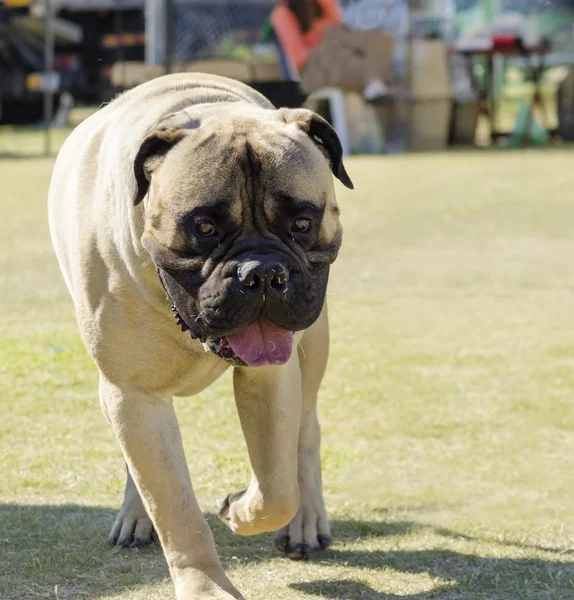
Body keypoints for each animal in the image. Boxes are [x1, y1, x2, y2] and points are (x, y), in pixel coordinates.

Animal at [48, 74, 356, 600]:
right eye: (205, 228)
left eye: (302, 223)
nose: (263, 272)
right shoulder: (131, 393)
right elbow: (173, 505)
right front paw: (206, 585)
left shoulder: (271, 378)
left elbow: (277, 485)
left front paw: (240, 508)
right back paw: (136, 515)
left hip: (314, 342)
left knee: (305, 433)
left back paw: (305, 522)